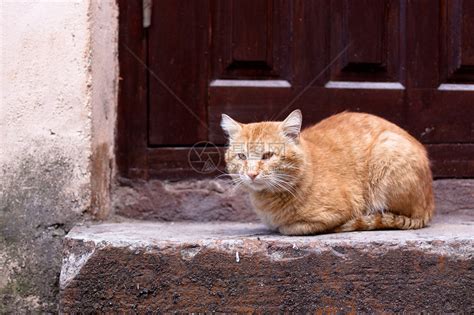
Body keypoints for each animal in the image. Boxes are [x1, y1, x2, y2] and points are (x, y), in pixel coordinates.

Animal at [220, 110, 436, 236]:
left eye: (267, 155)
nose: (251, 174)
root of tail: (430, 203)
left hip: (387, 151)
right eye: (241, 156)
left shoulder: (337, 212)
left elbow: (290, 228)